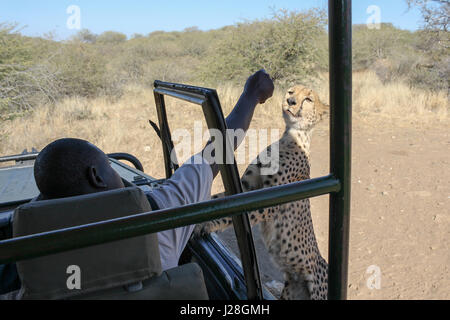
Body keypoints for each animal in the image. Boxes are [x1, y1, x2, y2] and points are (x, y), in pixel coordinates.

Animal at [195, 85, 328, 300]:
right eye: (291, 91)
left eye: (308, 99)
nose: (290, 102)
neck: (290, 137)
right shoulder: (247, 187)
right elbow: (219, 200)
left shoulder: (267, 201)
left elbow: (238, 214)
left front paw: (205, 224)